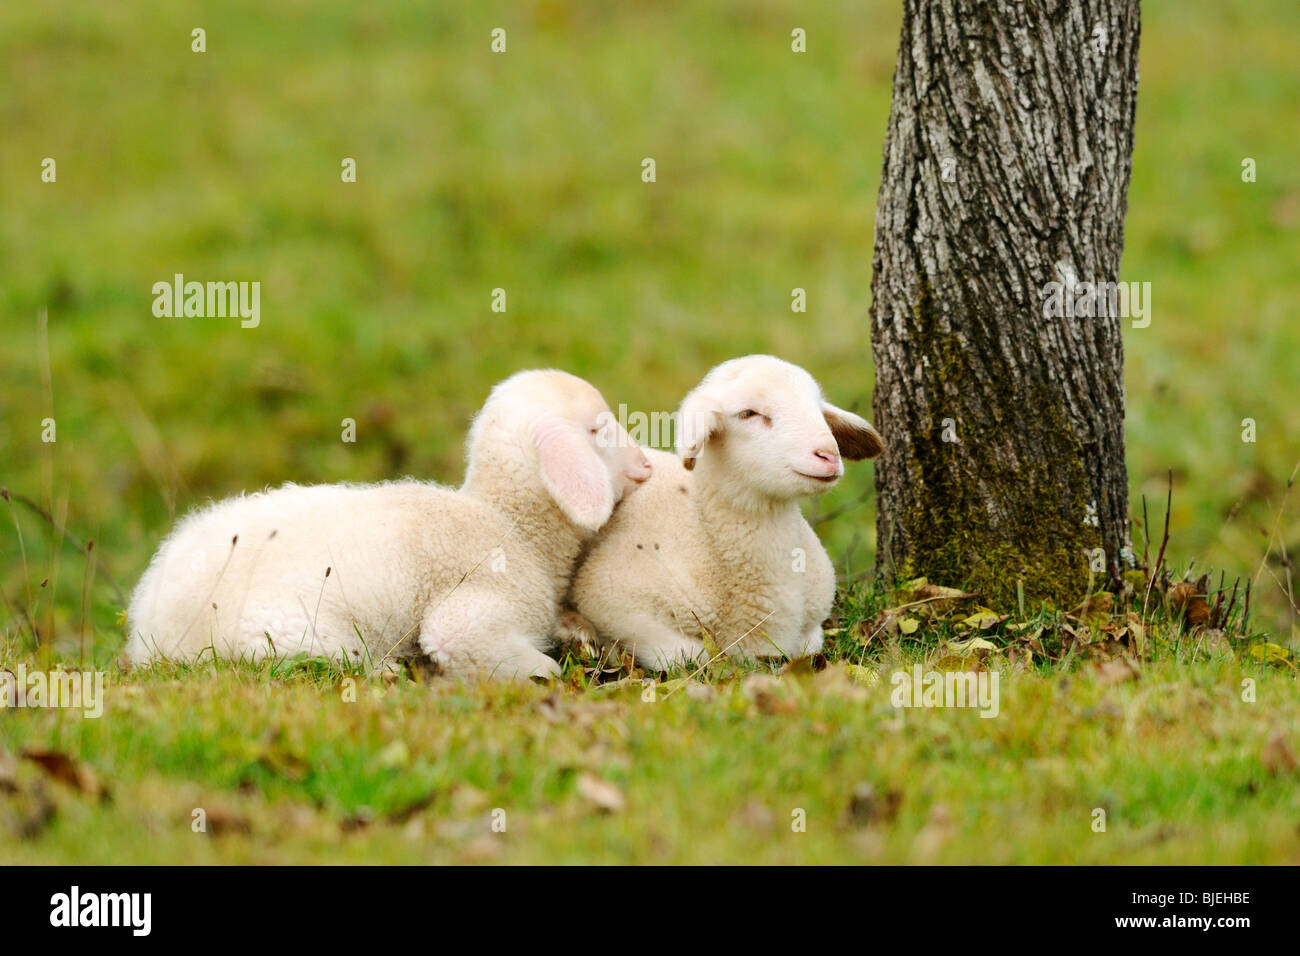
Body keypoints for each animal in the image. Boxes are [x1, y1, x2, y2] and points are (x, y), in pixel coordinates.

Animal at [124, 369, 650, 681]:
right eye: (599, 429)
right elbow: (468, 643)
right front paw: (545, 668)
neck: (513, 524)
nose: (646, 465)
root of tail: (149, 624)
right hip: (284, 630)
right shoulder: (481, 604)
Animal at [569, 353, 883, 671]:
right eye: (749, 413)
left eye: (819, 409)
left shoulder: (812, 629)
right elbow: (691, 656)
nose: (828, 455)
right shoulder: (612, 600)